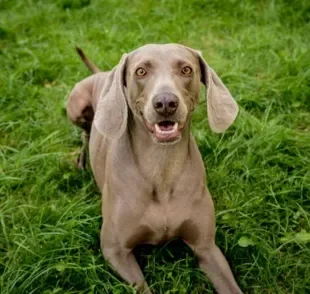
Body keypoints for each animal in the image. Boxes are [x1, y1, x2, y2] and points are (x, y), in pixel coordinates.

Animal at [66, 43, 242, 294]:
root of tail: (101, 73)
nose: (166, 103)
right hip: (76, 105)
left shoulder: (206, 247)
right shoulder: (114, 250)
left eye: (186, 69)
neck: (162, 167)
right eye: (141, 71)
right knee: (85, 131)